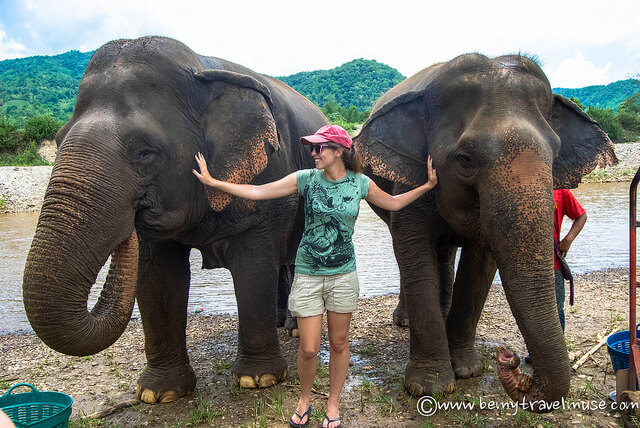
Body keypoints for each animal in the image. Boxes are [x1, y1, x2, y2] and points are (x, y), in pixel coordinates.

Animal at [22, 36, 328, 403]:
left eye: (144, 153)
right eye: (56, 141)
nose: (130, 222)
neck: (201, 67)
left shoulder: (269, 176)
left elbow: (253, 264)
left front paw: (258, 380)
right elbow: (159, 277)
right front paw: (158, 394)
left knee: (293, 259)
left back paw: (294, 331)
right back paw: (282, 325)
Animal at [353, 53, 617, 411]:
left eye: (556, 154)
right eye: (465, 159)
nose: (510, 359)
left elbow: (480, 266)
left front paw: (468, 371)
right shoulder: (407, 183)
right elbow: (413, 249)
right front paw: (428, 388)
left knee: (445, 250)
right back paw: (405, 321)